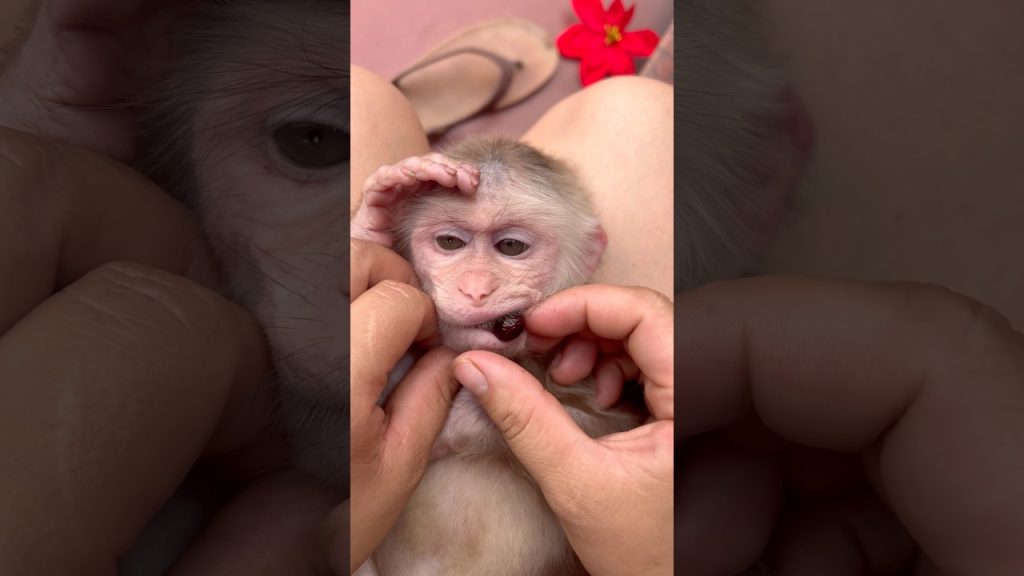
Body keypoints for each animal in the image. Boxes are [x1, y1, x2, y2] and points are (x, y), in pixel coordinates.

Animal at [350, 137, 649, 576]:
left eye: (510, 247)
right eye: (450, 243)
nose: (475, 289)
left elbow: (614, 423)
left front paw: (465, 416)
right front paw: (377, 217)